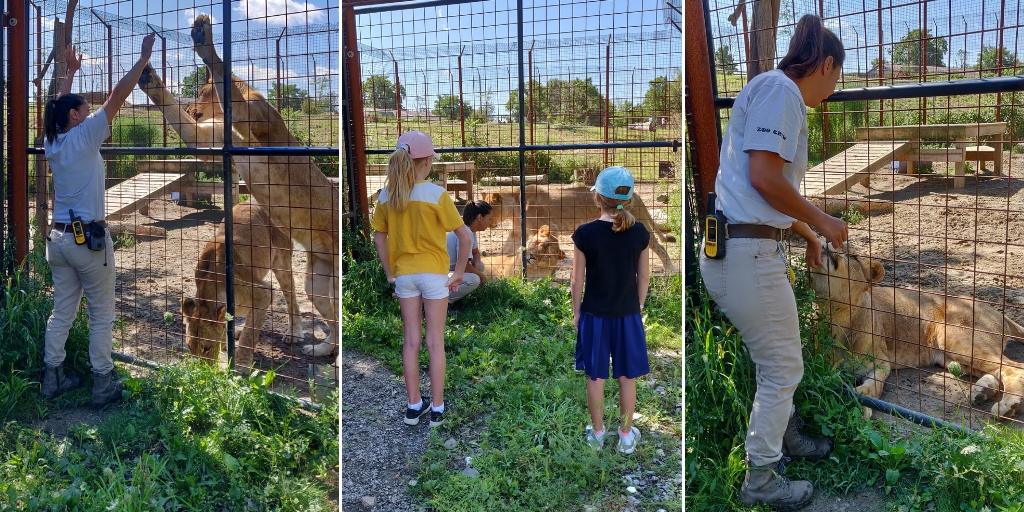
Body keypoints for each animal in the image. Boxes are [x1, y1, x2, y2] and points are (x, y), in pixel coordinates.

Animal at [137, 14, 339, 362]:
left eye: (200, 91)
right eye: (189, 348)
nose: (191, 109)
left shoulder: (251, 116)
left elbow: (223, 73)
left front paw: (204, 37)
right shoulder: (212, 137)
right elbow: (186, 126)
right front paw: (147, 75)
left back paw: (307, 341)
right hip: (316, 279)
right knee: (329, 315)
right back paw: (323, 348)